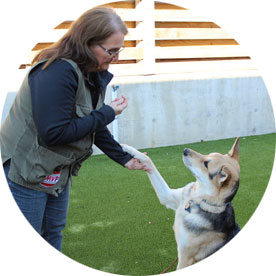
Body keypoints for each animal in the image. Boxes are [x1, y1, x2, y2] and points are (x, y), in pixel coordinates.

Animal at [122, 138, 240, 270]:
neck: (196, 201)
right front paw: (126, 147)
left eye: (206, 164)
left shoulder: (185, 257)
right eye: (208, 154)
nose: (186, 150)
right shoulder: (168, 196)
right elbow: (148, 160)